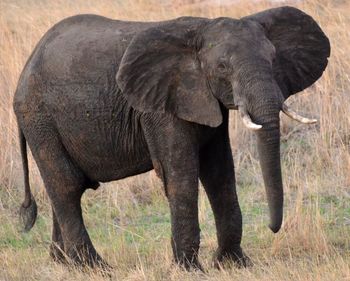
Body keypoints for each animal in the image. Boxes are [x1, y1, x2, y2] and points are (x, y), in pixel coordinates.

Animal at [13, 6, 330, 270]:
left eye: (274, 58)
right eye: (222, 68)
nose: (272, 228)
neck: (201, 29)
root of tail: (26, 67)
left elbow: (220, 175)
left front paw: (234, 265)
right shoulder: (160, 107)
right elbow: (181, 176)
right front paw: (190, 269)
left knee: (65, 187)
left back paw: (62, 263)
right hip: (39, 118)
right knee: (65, 186)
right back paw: (94, 268)